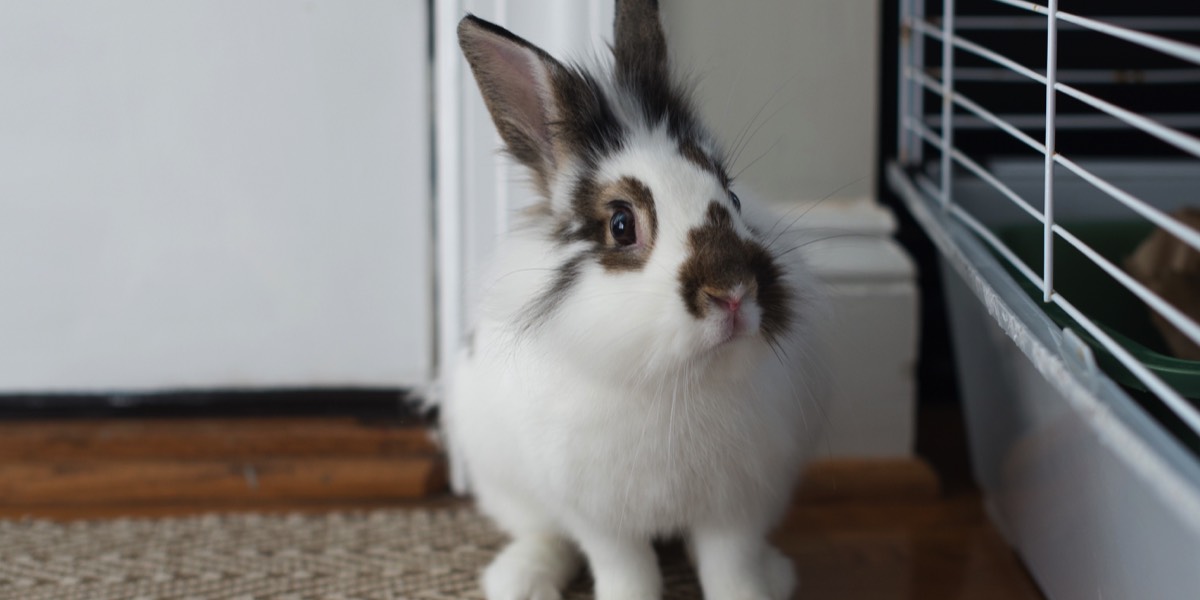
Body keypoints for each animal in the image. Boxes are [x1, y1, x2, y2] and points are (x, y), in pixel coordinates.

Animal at [446, 2, 830, 597]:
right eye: (622, 224)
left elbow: (731, 566)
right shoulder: (600, 516)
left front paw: (752, 588)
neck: (677, 382)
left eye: (733, 197)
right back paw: (521, 578)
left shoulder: (737, 505)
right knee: (543, 533)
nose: (733, 292)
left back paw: (777, 572)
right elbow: (625, 568)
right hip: (505, 483)